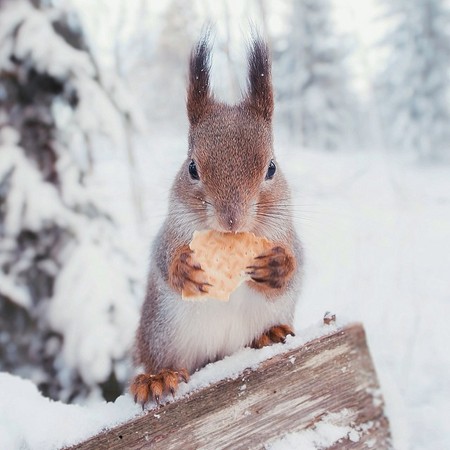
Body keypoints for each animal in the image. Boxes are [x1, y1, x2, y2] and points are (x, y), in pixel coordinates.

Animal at [130, 37, 302, 406]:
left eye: (271, 168)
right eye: (192, 168)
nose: (231, 220)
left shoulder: (287, 232)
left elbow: (296, 266)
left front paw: (277, 265)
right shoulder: (169, 233)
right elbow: (164, 259)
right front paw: (183, 268)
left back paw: (270, 334)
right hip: (160, 336)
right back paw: (157, 378)